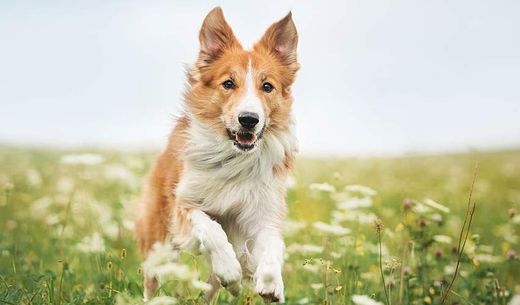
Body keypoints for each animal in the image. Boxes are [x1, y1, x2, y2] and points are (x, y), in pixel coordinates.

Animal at [136, 7, 298, 302]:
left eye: (267, 86)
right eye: (228, 83)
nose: (249, 120)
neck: (235, 158)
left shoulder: (262, 212)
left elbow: (272, 245)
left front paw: (271, 284)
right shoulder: (184, 204)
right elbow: (211, 229)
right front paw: (231, 270)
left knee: (210, 290)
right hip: (158, 239)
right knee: (152, 280)